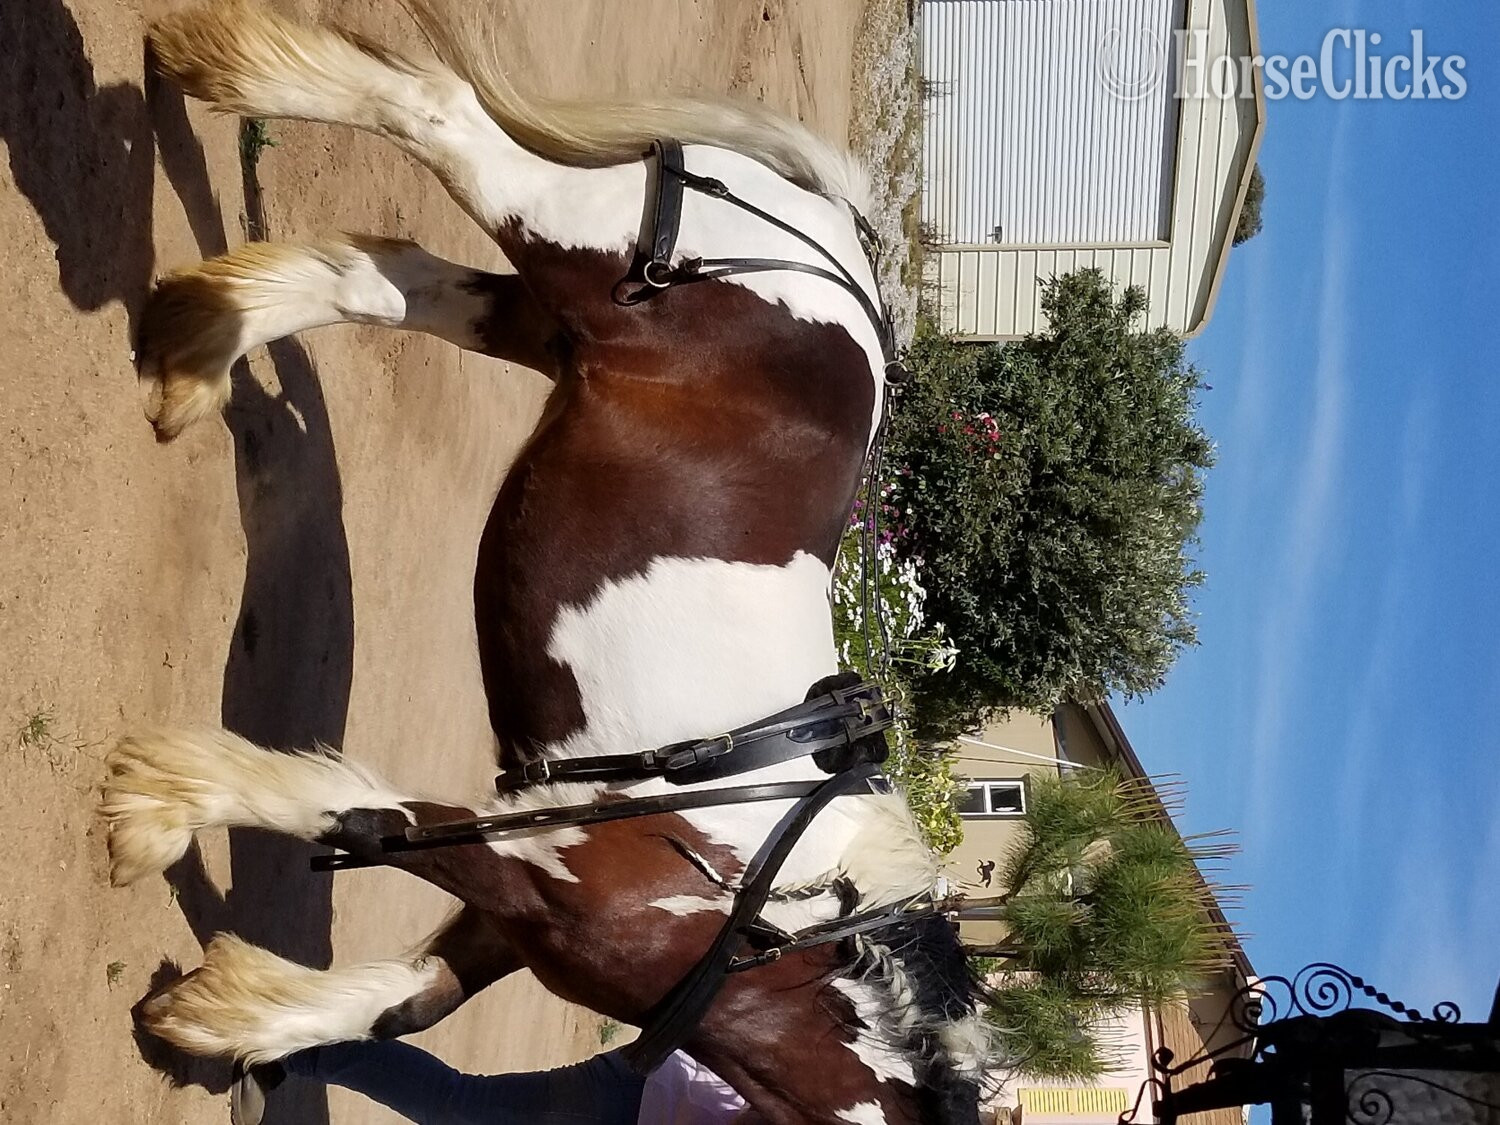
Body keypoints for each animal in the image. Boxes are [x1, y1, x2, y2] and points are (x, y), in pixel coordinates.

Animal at [99, 3, 987, 1122]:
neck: (764, 933)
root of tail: (834, 242)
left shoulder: (521, 916)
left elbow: (400, 1005)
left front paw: (224, 1023)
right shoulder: (528, 851)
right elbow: (352, 813)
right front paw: (154, 811)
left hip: (549, 326)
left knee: (384, 281)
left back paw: (198, 347)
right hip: (566, 240)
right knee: (438, 114)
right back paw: (216, 59)